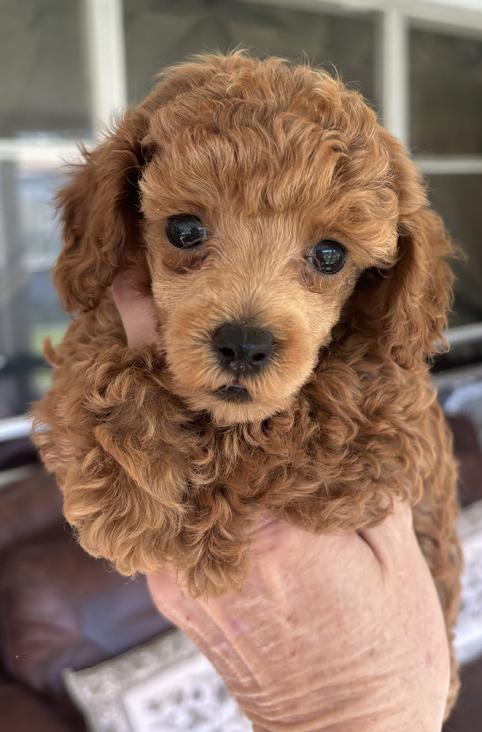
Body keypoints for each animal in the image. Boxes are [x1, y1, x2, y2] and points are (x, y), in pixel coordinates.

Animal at [32, 53, 462, 716]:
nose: (244, 344)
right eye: (184, 230)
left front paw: (168, 524)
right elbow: (92, 358)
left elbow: (271, 438)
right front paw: (127, 484)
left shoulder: (382, 427)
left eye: (331, 255)